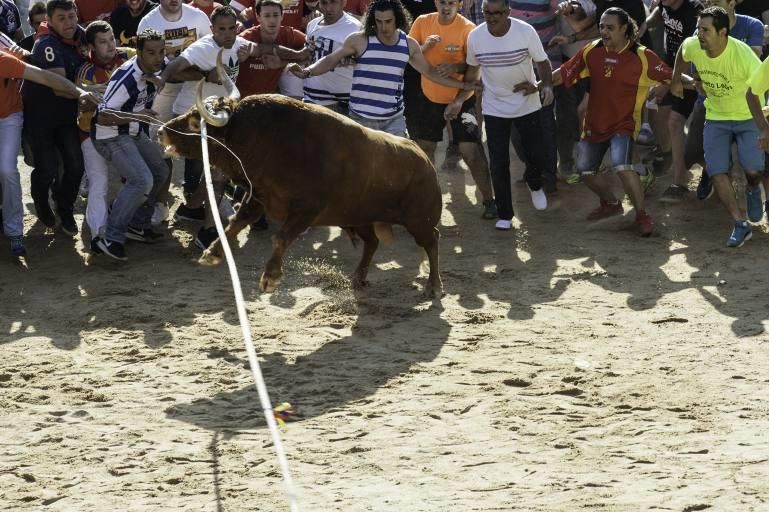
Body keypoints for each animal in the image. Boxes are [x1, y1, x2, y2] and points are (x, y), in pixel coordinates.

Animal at [158, 53, 444, 296]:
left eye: (195, 122)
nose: (162, 131)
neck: (267, 139)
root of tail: (425, 161)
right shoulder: (258, 197)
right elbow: (235, 224)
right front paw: (213, 253)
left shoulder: (307, 210)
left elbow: (280, 237)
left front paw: (270, 277)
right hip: (360, 217)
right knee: (372, 242)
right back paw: (358, 277)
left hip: (419, 220)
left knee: (431, 241)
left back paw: (434, 286)